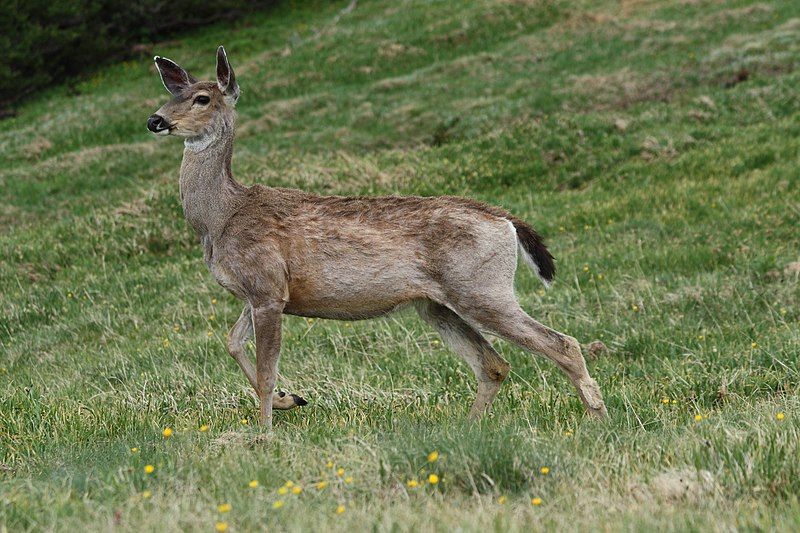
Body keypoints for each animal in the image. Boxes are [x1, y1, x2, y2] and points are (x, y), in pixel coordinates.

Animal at [147, 46, 608, 428]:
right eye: (172, 94)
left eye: (202, 98)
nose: (156, 120)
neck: (222, 217)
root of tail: (504, 220)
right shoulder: (260, 292)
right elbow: (231, 343)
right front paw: (291, 399)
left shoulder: (266, 287)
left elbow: (264, 371)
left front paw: (263, 434)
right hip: (436, 304)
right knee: (494, 365)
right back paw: (468, 427)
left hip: (481, 288)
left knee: (562, 344)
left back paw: (598, 418)